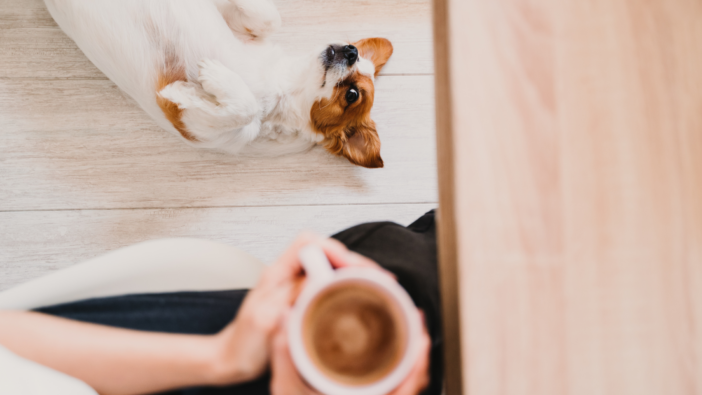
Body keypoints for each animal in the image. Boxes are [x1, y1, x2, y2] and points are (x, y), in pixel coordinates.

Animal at [42, 0, 396, 168]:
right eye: (355, 49)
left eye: (352, 94)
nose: (351, 51)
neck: (279, 84)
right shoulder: (247, 28)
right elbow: (270, 18)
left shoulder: (188, 124)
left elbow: (243, 109)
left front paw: (208, 79)